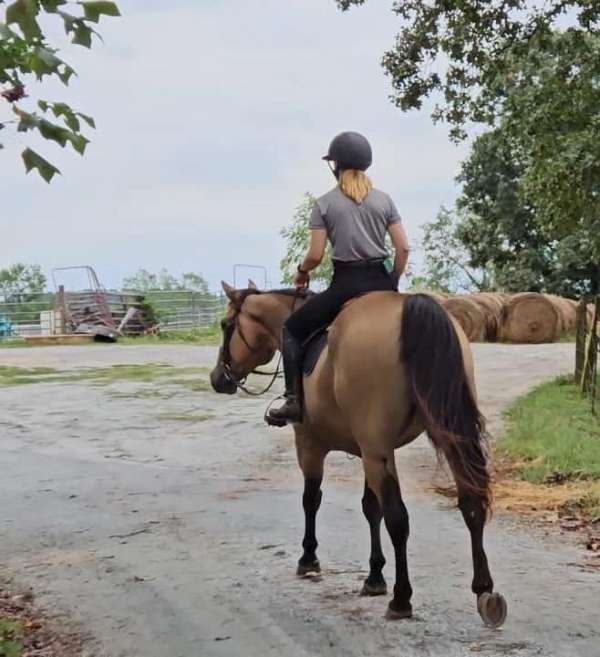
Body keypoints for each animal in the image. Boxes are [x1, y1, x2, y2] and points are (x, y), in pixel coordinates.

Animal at [210, 282, 506, 624]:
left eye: (225, 325)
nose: (217, 378)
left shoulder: (311, 445)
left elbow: (311, 499)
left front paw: (308, 557)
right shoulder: (370, 451)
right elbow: (370, 507)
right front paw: (374, 576)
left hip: (377, 448)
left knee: (398, 519)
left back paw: (401, 599)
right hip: (441, 434)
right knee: (470, 503)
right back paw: (484, 591)